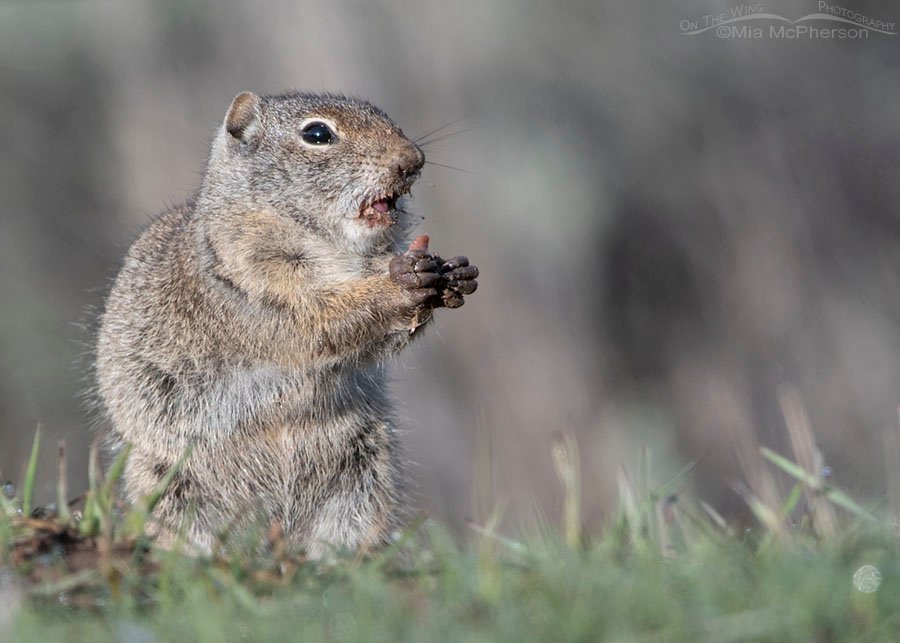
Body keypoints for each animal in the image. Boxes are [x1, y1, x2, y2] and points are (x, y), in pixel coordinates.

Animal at [94, 91, 479, 556]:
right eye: (317, 134)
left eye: (386, 116)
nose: (412, 160)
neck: (335, 250)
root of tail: (275, 531)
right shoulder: (250, 281)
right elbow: (321, 322)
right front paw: (399, 285)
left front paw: (452, 276)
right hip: (169, 486)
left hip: (365, 477)